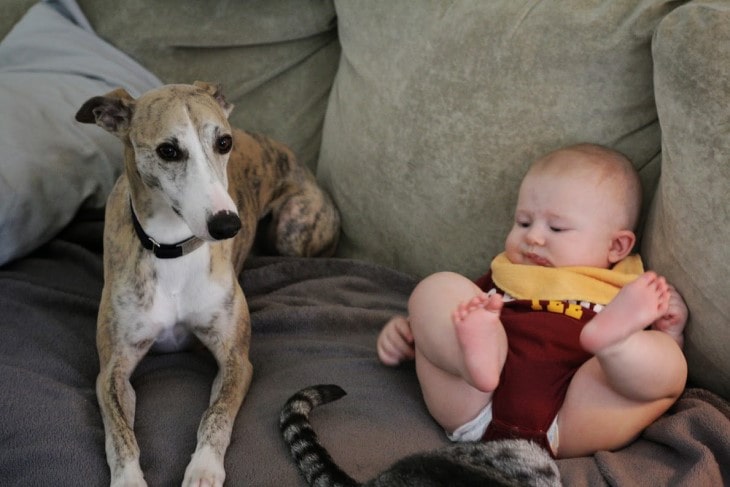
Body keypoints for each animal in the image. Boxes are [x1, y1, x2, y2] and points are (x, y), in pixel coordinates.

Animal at [77, 82, 338, 486]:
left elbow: (215, 416)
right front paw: (129, 479)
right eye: (168, 150)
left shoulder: (236, 359)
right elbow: (121, 436)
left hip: (292, 229)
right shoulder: (113, 369)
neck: (172, 249)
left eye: (224, 142)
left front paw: (203, 467)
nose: (228, 225)